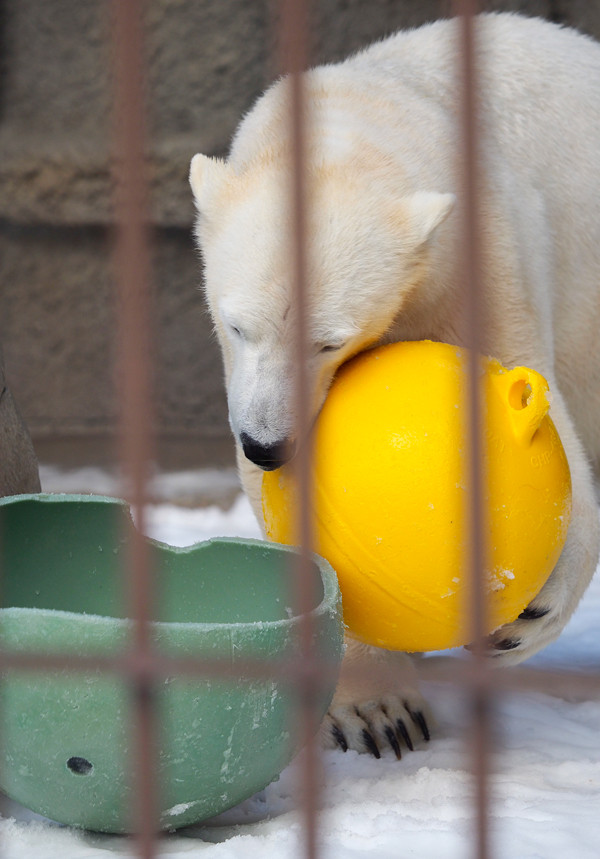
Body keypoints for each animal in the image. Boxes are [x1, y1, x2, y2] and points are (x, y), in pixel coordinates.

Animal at [191, 10, 600, 756]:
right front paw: (381, 712)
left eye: (330, 339)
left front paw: (526, 615)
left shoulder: (483, 258)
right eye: (238, 326)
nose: (266, 443)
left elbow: (540, 415)